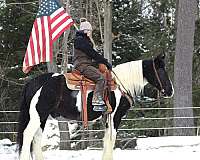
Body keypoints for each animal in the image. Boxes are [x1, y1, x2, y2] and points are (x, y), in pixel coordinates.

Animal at [16, 54, 173, 160]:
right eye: (161, 71)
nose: (170, 91)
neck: (119, 85)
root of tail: (33, 82)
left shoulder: (107, 117)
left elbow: (106, 139)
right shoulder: (115, 116)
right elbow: (111, 139)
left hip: (42, 118)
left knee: (36, 138)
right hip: (37, 116)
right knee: (28, 135)